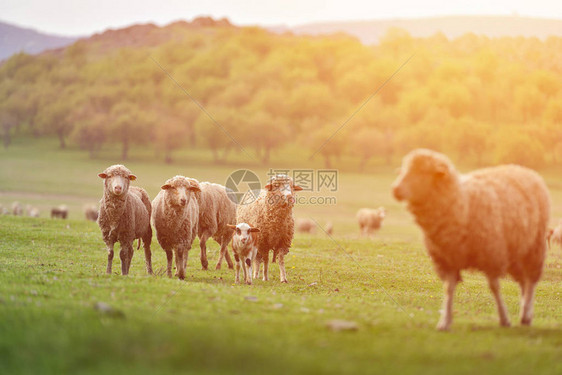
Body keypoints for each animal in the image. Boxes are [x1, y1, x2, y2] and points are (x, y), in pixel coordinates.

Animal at [390, 148, 548, 330]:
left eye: (422, 171)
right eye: (403, 171)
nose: (395, 190)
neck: (461, 203)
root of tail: (521, 168)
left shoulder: (491, 254)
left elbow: (494, 287)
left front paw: (504, 319)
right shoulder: (448, 258)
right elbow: (449, 288)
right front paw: (445, 322)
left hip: (534, 247)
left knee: (531, 282)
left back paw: (526, 313)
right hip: (517, 250)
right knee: (523, 282)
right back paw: (525, 314)